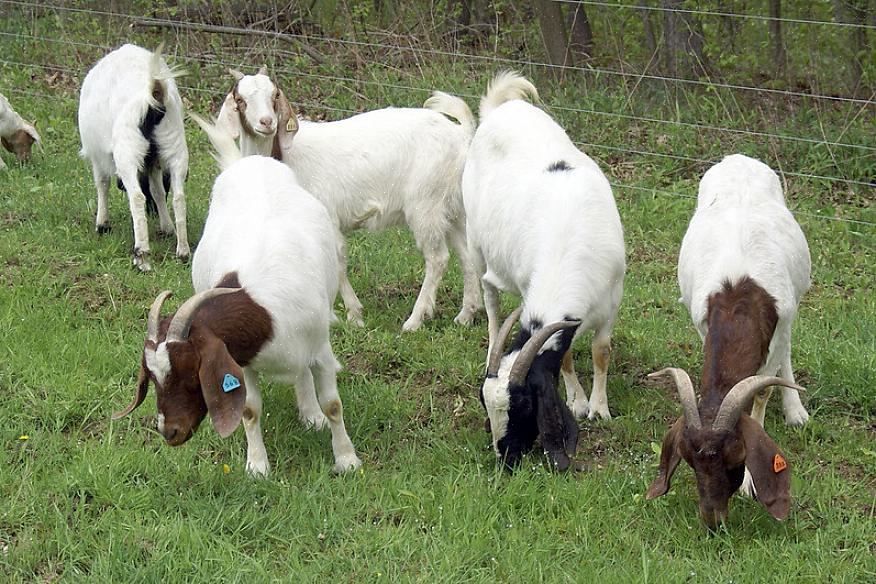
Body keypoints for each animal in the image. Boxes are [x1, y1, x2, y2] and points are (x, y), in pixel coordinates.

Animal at [79, 43, 190, 272]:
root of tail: (155, 93)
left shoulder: (97, 155)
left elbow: (102, 183)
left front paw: (102, 224)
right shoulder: (153, 162)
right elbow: (157, 191)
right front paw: (167, 227)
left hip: (128, 150)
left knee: (137, 197)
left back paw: (142, 255)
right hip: (174, 144)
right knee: (178, 197)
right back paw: (183, 252)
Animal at [114, 116, 362, 476]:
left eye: (190, 372)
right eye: (153, 378)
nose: (169, 432)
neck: (262, 311)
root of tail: (246, 163)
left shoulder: (321, 349)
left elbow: (333, 404)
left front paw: (346, 460)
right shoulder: (241, 361)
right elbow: (248, 410)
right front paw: (257, 466)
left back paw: (311, 415)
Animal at [216, 67, 482, 334]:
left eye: (275, 95)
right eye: (240, 100)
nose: (267, 122)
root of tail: (461, 134)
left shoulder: (327, 217)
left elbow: (337, 262)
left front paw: (353, 315)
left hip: (425, 204)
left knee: (438, 259)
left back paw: (415, 320)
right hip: (452, 209)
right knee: (467, 255)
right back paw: (466, 315)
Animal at [462, 72, 628, 470]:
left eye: (523, 404)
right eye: (485, 404)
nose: (505, 456)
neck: (566, 241)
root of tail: (499, 109)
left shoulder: (612, 297)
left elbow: (601, 350)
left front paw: (599, 408)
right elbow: (564, 357)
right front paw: (578, 401)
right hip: (476, 243)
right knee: (489, 296)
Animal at [648, 153, 812, 528]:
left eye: (735, 458)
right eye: (688, 460)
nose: (713, 521)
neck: (739, 297)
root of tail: (738, 157)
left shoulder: (781, 323)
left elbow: (761, 391)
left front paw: (751, 484)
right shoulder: (702, 324)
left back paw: (796, 410)